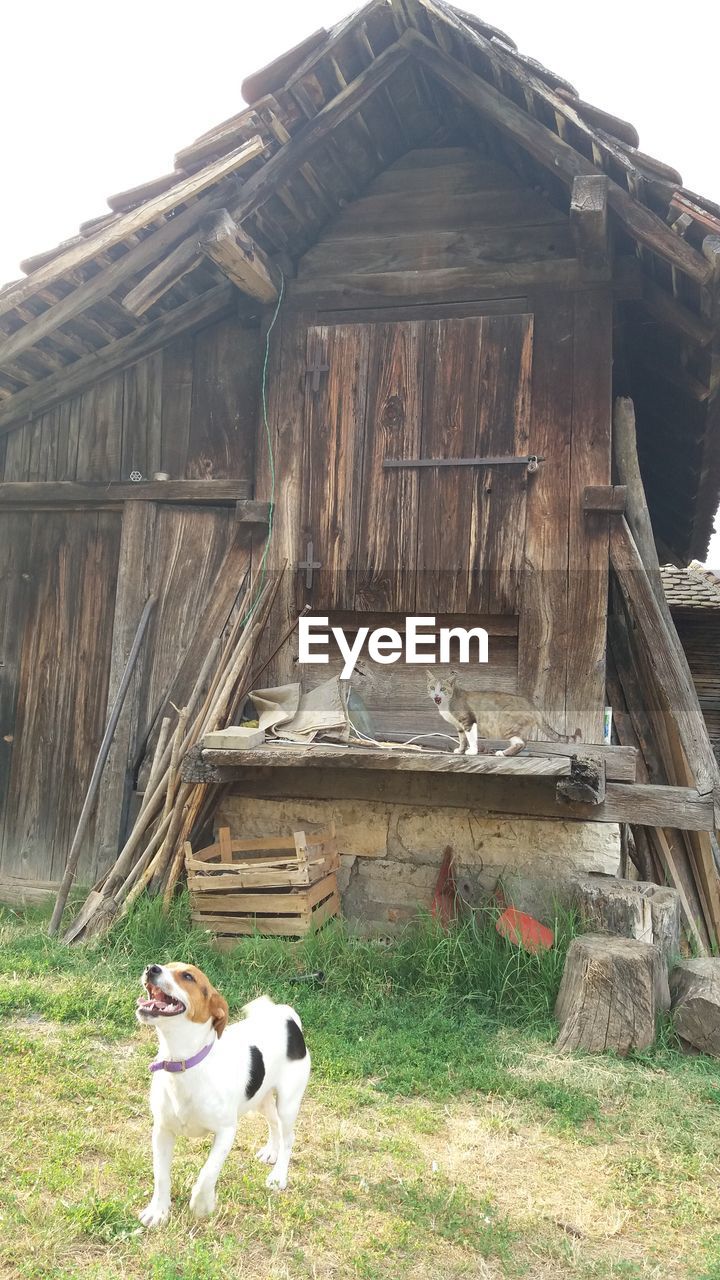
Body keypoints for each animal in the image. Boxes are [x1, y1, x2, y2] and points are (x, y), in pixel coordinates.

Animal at [135, 962, 310, 1223]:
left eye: (188, 976)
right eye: (166, 965)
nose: (151, 968)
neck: (185, 1063)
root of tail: (288, 1017)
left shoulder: (226, 1132)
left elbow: (207, 1174)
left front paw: (201, 1205)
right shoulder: (162, 1130)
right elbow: (161, 1176)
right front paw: (158, 1211)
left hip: (288, 1102)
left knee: (289, 1137)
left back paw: (278, 1176)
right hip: (261, 1098)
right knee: (273, 1124)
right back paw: (271, 1152)